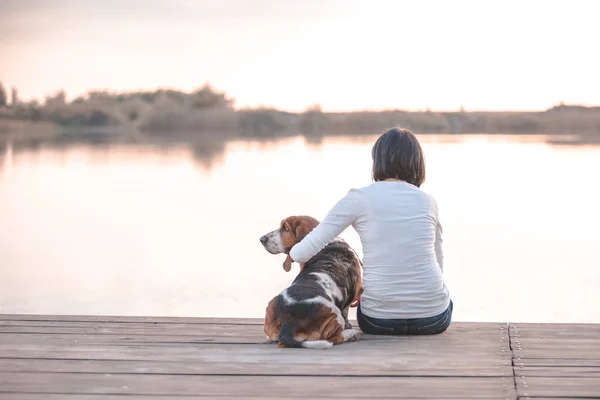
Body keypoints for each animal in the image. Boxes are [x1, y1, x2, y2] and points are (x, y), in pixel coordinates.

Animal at [258, 214, 360, 348]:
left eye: (285, 229)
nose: (262, 239)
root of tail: (288, 321)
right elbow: (346, 310)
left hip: (270, 308)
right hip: (334, 313)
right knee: (335, 337)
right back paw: (352, 333)